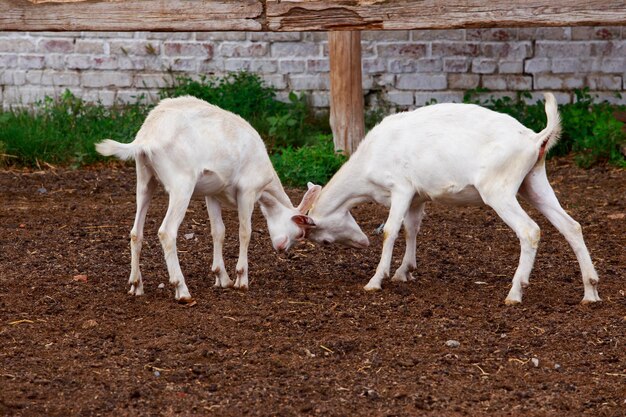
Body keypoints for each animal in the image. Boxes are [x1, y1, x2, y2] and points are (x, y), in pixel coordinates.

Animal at [95, 97, 320, 304]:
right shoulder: (247, 190)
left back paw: (136, 285)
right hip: (181, 184)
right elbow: (245, 232)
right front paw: (241, 279)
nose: (282, 249)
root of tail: (146, 138)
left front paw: (222, 278)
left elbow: (218, 231)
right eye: (300, 233)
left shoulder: (212, 193)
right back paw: (181, 289)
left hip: (144, 179)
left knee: (136, 232)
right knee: (166, 231)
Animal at [304, 92, 596, 304]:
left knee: (530, 230)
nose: (362, 243)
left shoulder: (401, 188)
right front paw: (404, 271)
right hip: (533, 181)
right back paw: (590, 292)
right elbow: (411, 229)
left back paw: (515, 293)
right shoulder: (417, 196)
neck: (368, 162)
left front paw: (375, 280)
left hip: (498, 190)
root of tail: (537, 139)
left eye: (325, 240)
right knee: (571, 226)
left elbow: (390, 230)